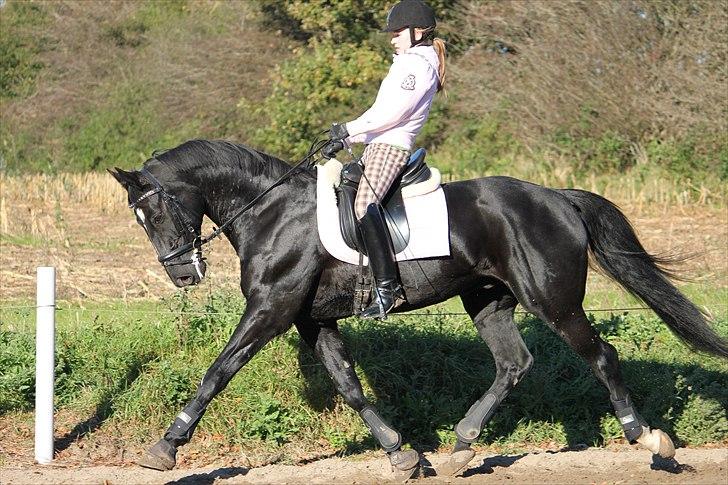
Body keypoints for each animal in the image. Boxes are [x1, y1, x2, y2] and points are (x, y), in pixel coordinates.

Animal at [109, 138, 728, 478]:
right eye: (139, 219)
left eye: (155, 211)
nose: (183, 273)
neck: (271, 210)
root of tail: (557, 197)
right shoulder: (313, 319)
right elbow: (349, 386)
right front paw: (401, 454)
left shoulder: (272, 309)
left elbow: (219, 371)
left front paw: (165, 447)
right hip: (488, 301)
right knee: (514, 364)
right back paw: (460, 448)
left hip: (551, 301)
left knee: (601, 356)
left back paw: (649, 439)